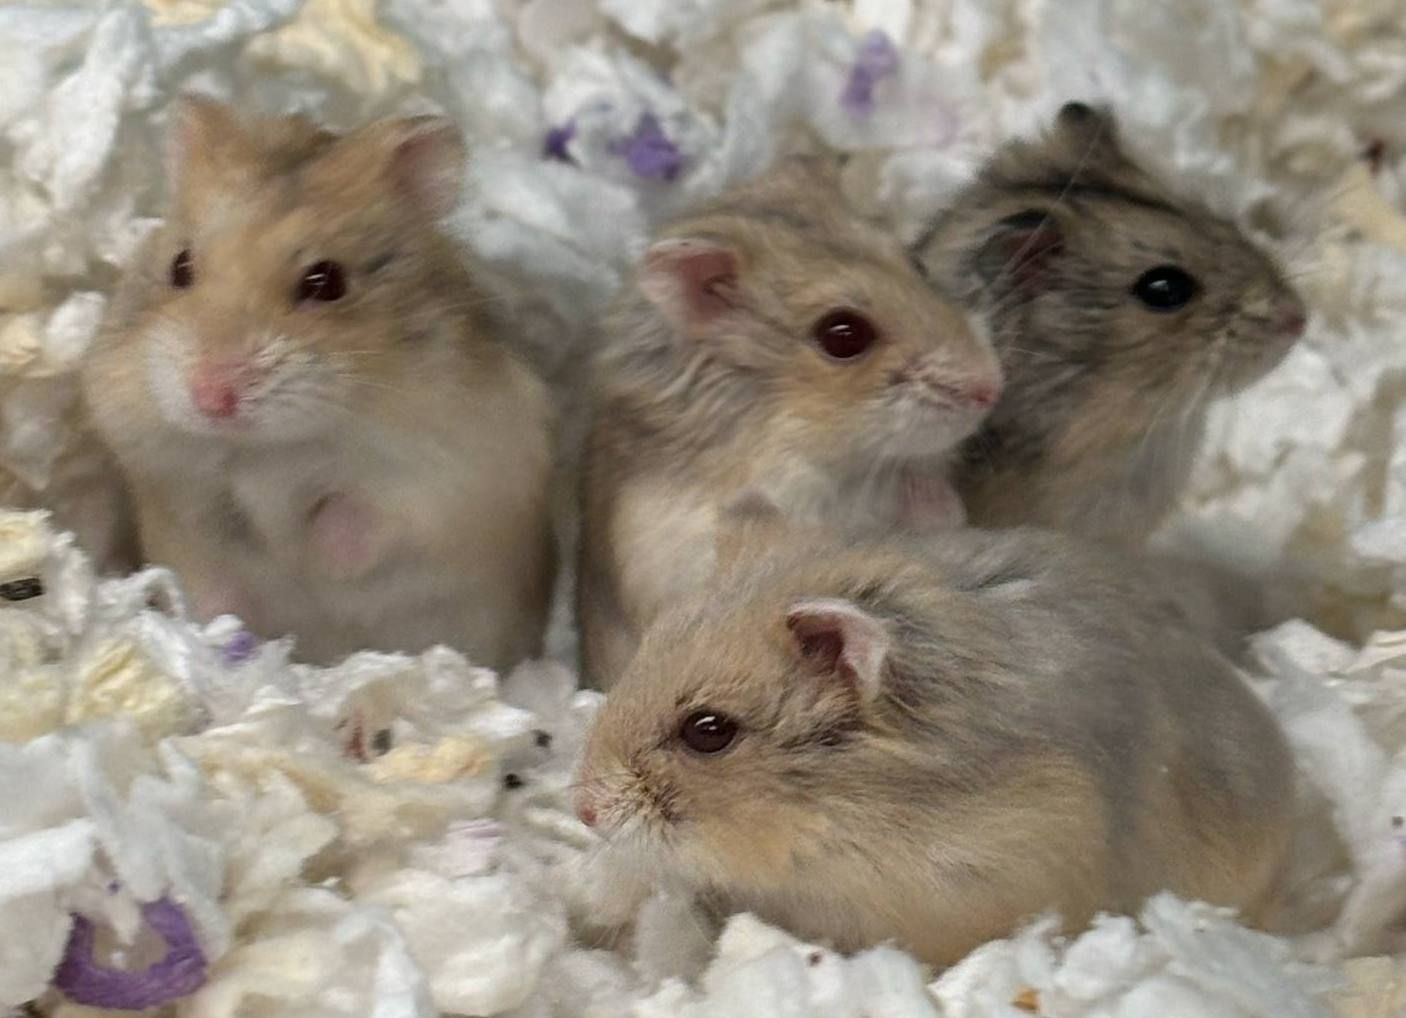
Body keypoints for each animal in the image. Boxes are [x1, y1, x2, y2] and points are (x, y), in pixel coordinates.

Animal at [81, 97, 556, 670]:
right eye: (180, 265)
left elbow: (362, 513)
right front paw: (227, 615)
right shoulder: (167, 480)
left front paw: (316, 560)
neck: (272, 451)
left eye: (327, 282)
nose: (211, 397)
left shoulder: (460, 477)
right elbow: (210, 541)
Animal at [577, 158, 1003, 689]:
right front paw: (926, 498)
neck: (786, 420)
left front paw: (938, 494)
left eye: (917, 264)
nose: (992, 387)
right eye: (843, 336)